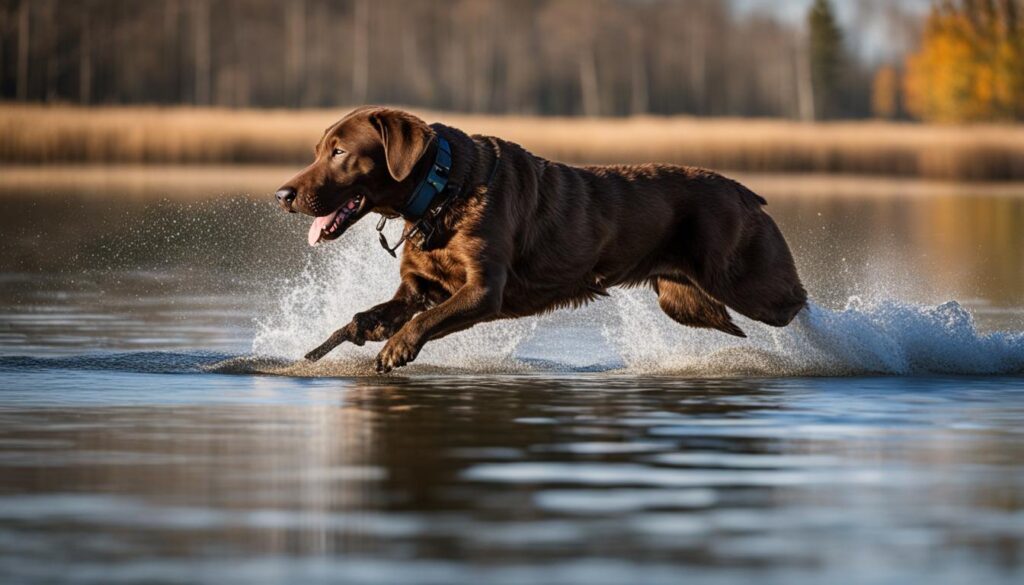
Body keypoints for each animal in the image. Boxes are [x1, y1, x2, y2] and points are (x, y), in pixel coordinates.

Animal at [276, 107, 802, 372]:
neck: (440, 193)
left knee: (794, 302)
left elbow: (427, 320)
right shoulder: (418, 286)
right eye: (318, 150)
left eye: (340, 152)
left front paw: (396, 349)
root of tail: (742, 189)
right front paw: (359, 332)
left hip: (743, 280)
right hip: (684, 299)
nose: (283, 194)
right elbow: (383, 313)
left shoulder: (484, 291)